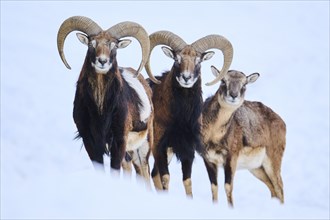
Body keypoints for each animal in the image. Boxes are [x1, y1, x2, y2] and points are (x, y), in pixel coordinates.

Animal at [57, 15, 159, 180]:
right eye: (91, 44)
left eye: (114, 46)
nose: (102, 61)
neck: (101, 110)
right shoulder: (90, 141)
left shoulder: (119, 141)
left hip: (143, 147)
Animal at [146, 30, 233, 196]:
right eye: (176, 59)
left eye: (198, 61)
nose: (186, 78)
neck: (180, 119)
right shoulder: (158, 147)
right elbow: (165, 177)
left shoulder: (187, 150)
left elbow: (187, 181)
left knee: (153, 174)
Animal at [202, 66, 284, 206]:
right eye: (223, 80)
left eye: (244, 84)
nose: (233, 95)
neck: (214, 136)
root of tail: (282, 122)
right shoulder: (209, 160)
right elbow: (214, 187)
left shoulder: (231, 159)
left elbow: (228, 187)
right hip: (257, 168)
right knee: (273, 189)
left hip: (272, 162)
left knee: (279, 187)